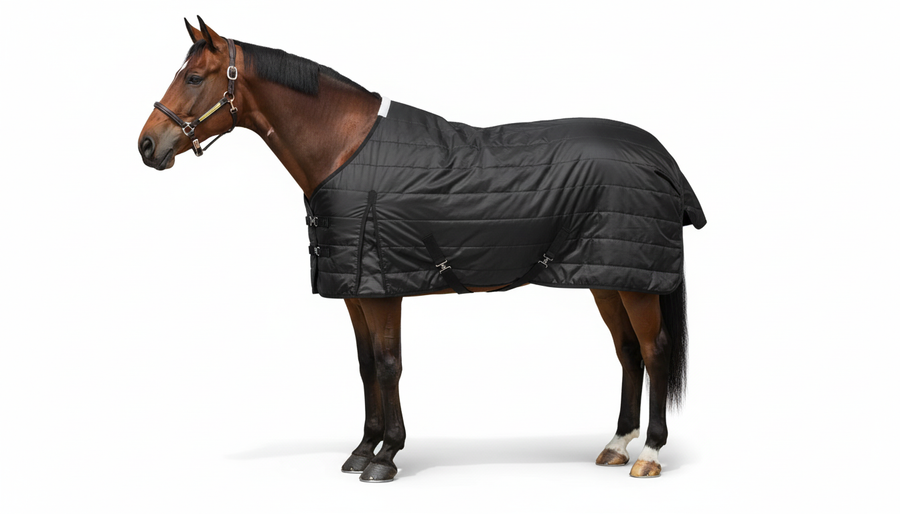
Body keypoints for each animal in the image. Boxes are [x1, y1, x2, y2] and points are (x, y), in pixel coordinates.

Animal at [138, 17, 706, 483]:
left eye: (194, 77)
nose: (147, 145)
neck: (345, 150)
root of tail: (659, 156)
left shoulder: (384, 287)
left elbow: (389, 364)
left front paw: (386, 457)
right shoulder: (355, 291)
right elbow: (366, 365)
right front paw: (361, 450)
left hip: (634, 281)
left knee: (654, 351)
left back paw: (649, 454)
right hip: (606, 277)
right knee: (628, 352)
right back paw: (617, 445)